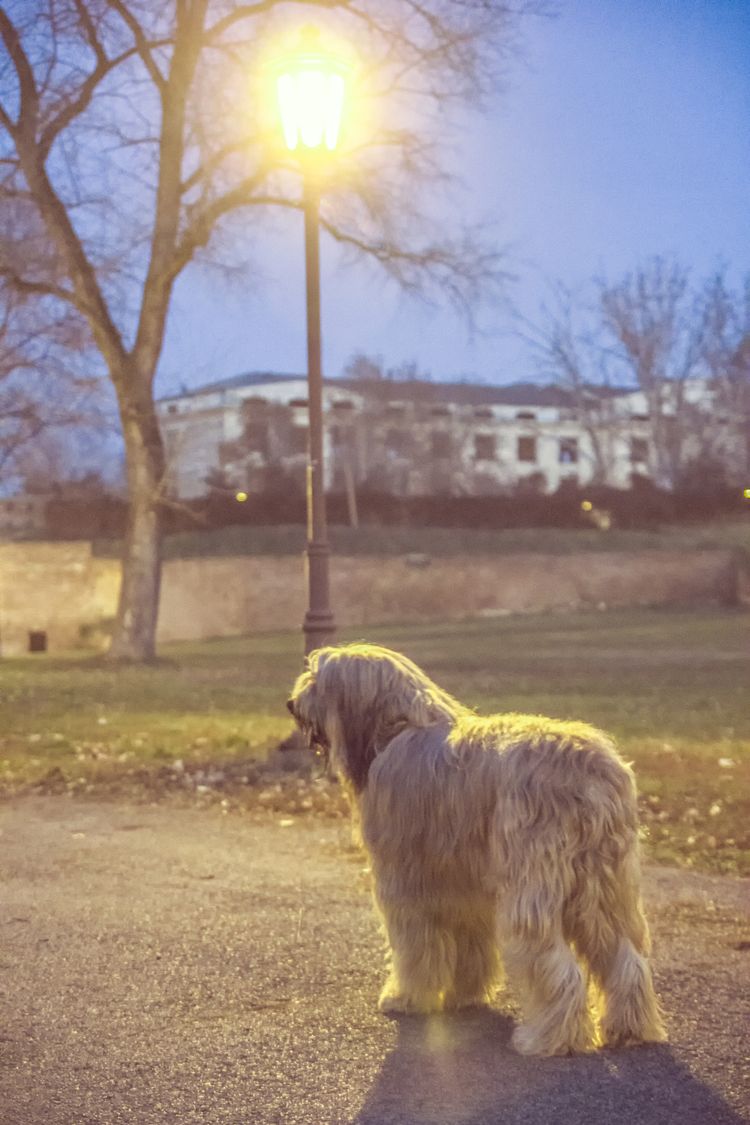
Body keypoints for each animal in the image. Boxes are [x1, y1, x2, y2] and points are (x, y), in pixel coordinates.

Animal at [287, 643, 670, 1053]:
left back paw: (550, 1039)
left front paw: (406, 998)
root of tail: (588, 772)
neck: (400, 726)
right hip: (607, 883)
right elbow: (472, 945)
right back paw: (629, 1029)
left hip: (535, 882)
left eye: (317, 680)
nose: (291, 704)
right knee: (626, 958)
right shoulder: (464, 886)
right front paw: (465, 995)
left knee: (556, 964)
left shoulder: (405, 883)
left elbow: (414, 949)